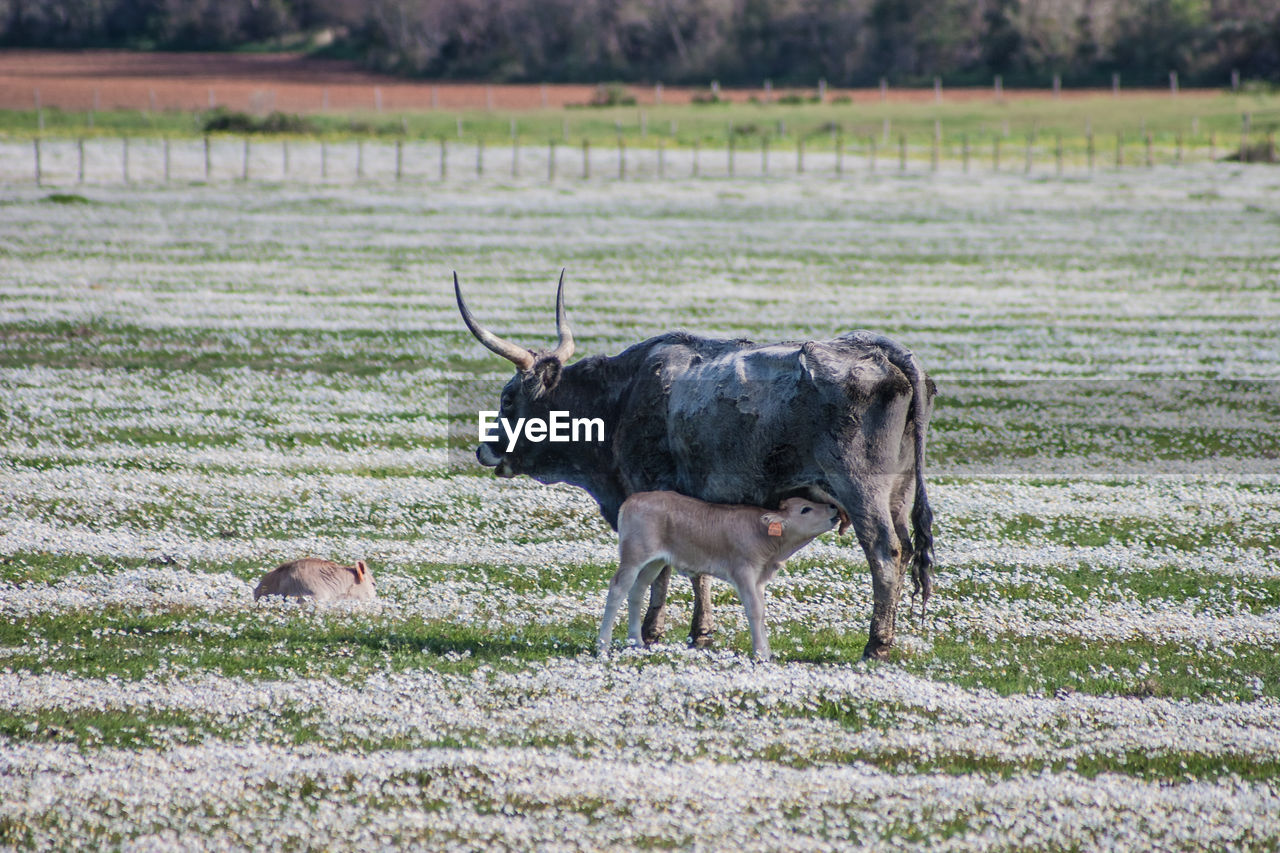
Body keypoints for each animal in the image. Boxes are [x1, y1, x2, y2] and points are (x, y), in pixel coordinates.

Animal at [596, 489, 839, 660]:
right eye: (805, 509)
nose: (833, 508)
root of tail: (633, 498)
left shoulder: (759, 579)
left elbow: (761, 610)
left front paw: (767, 652)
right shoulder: (744, 571)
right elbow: (754, 610)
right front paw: (760, 654)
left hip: (655, 561)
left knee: (637, 591)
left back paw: (635, 641)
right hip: (633, 556)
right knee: (617, 588)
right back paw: (603, 646)